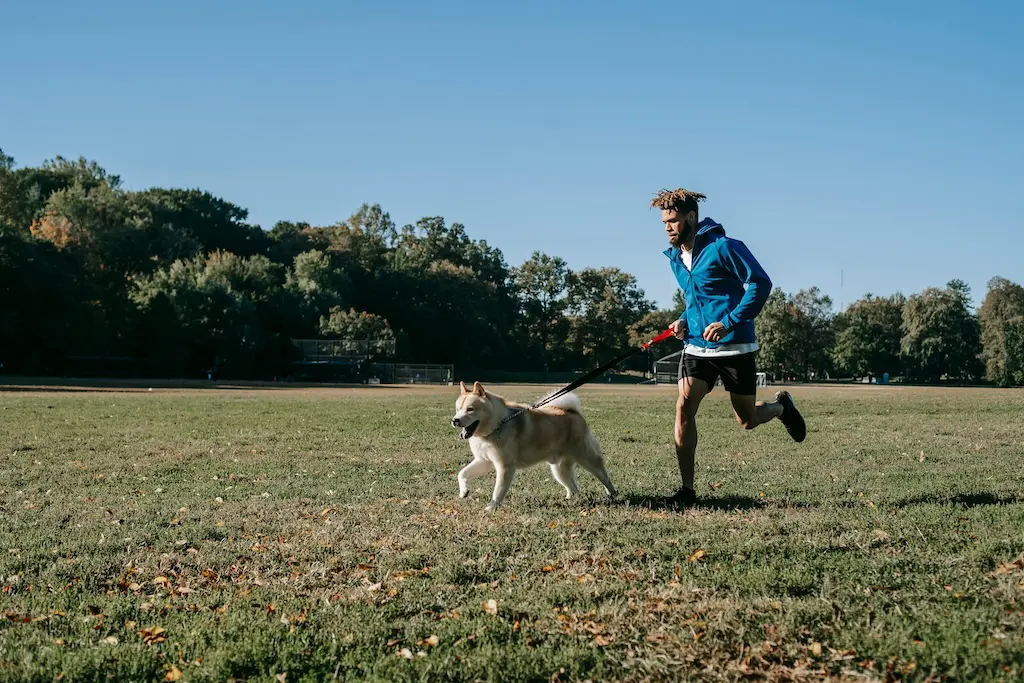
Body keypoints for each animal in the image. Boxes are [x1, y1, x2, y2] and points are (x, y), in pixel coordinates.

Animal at [450, 382, 614, 509]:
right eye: (458, 409)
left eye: (470, 409)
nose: (455, 420)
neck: (497, 424)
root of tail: (573, 412)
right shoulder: (484, 461)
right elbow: (461, 473)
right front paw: (463, 492)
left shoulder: (505, 467)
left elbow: (498, 490)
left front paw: (491, 507)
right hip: (559, 469)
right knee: (573, 487)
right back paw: (570, 499)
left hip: (586, 458)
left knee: (604, 476)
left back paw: (613, 494)